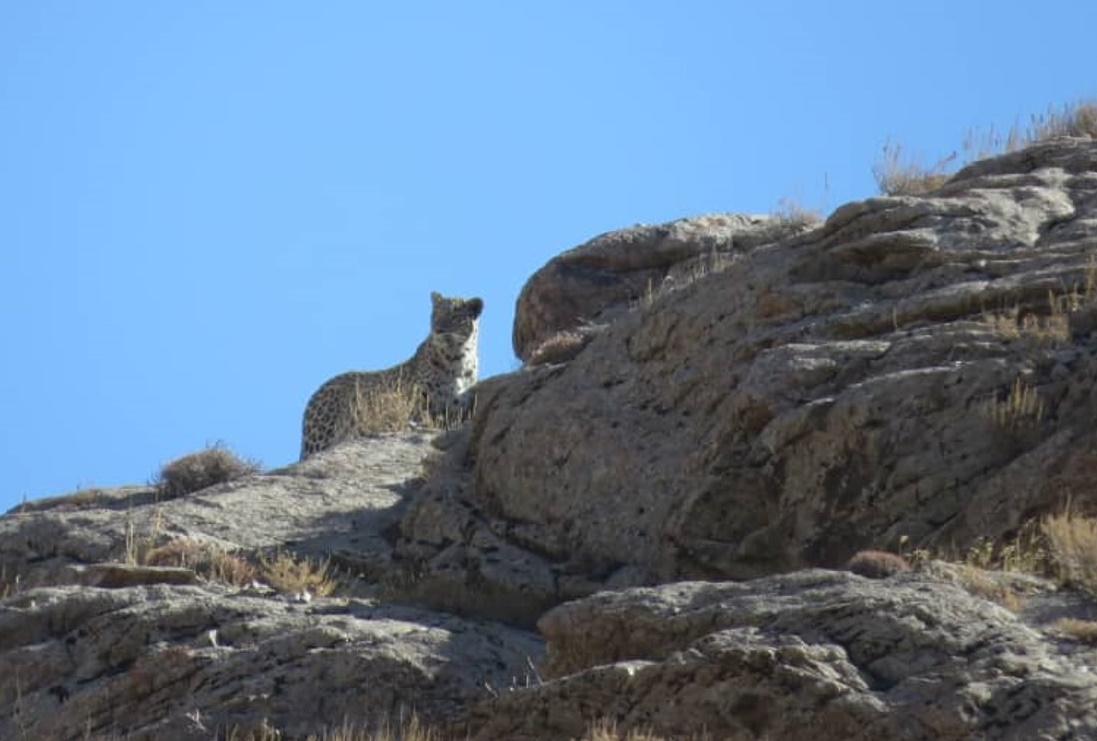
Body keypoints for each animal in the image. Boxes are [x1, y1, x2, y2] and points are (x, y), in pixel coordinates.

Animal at [302, 292, 487, 458]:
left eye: (455, 317)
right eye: (435, 315)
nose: (438, 330)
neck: (458, 358)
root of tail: (315, 394)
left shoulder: (458, 410)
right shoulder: (421, 405)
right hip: (322, 436)